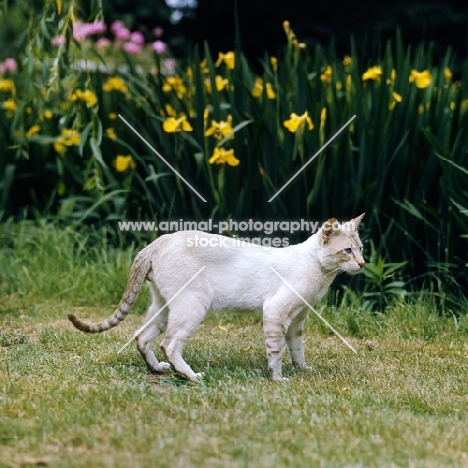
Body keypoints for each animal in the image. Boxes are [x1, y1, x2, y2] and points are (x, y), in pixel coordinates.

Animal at [68, 214, 366, 382]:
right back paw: (192, 377)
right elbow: (277, 351)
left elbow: (297, 349)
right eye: (347, 251)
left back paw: (159, 371)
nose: (362, 264)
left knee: (142, 336)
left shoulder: (298, 319)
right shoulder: (276, 311)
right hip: (193, 304)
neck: (321, 274)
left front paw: (303, 371)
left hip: (164, 305)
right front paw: (278, 380)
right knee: (169, 343)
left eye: (361, 249)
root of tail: (156, 242)